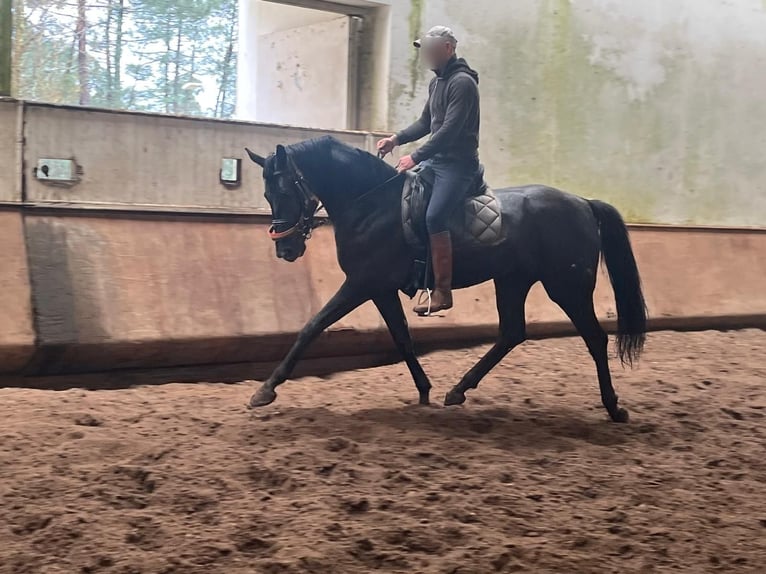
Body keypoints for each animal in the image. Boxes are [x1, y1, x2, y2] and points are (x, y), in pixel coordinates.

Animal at [244, 136, 647, 423]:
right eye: (267, 193)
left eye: (286, 190)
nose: (285, 249)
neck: (372, 204)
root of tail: (582, 202)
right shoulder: (379, 288)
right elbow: (402, 338)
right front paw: (424, 391)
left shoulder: (361, 284)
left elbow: (311, 327)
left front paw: (265, 391)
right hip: (513, 280)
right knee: (512, 333)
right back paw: (458, 391)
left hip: (567, 287)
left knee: (594, 338)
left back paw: (614, 408)